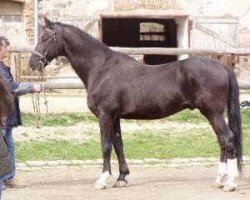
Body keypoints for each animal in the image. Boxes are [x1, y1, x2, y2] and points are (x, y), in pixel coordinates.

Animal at [29, 18, 242, 192]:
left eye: (46, 37)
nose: (33, 63)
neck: (101, 68)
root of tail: (223, 67)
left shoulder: (105, 115)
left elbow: (105, 146)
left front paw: (102, 180)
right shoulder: (114, 117)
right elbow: (118, 145)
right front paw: (122, 178)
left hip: (213, 112)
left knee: (227, 139)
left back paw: (230, 183)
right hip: (212, 113)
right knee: (222, 141)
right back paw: (220, 180)